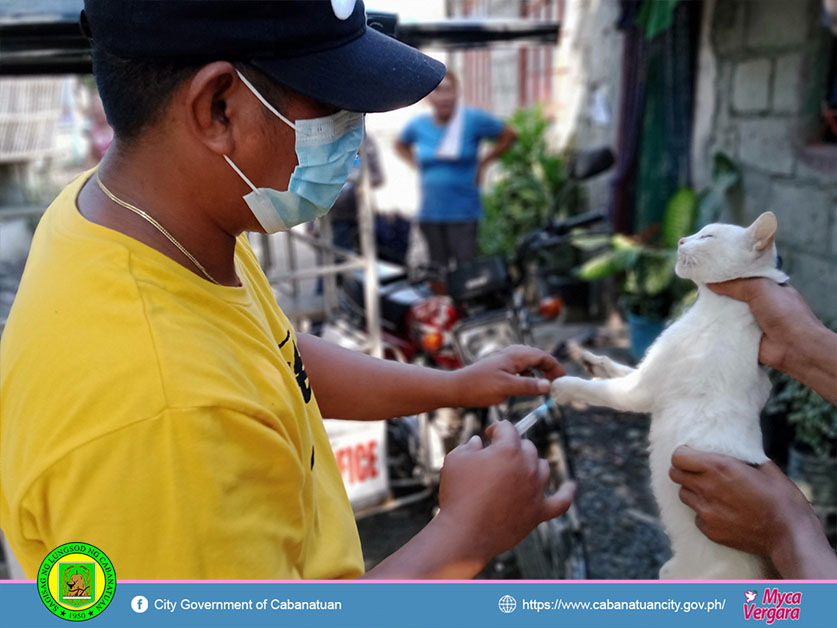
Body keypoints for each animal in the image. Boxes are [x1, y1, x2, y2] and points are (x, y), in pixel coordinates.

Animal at [552, 212, 788, 580]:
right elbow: (621, 369)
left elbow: (600, 389)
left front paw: (563, 386)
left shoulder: (639, 392)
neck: (714, 308)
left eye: (707, 236)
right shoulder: (644, 377)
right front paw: (594, 361)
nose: (680, 240)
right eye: (698, 232)